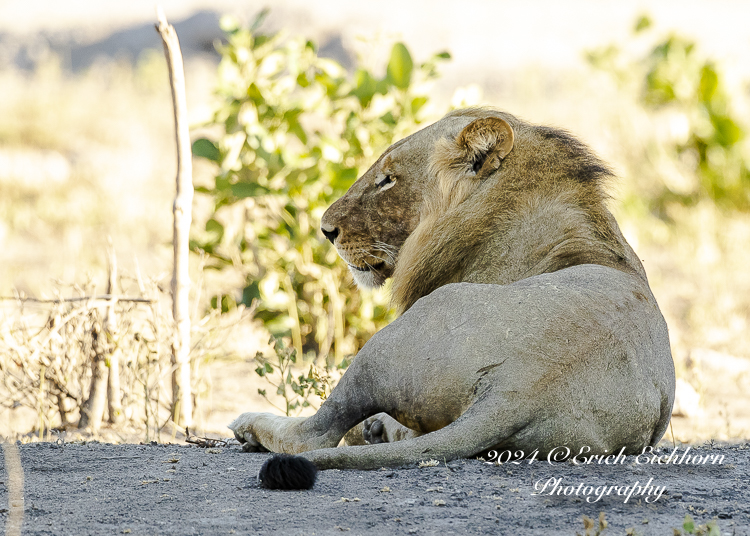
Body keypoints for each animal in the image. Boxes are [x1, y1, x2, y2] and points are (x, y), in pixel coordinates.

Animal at [229, 108, 676, 486]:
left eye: (388, 179)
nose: (326, 230)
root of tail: (519, 389)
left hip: (396, 337)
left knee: (314, 434)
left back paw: (252, 427)